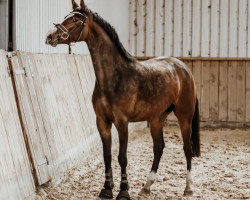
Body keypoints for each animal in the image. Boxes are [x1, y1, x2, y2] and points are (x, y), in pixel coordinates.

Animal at [46, 0, 200, 199]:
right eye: (67, 16)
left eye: (75, 19)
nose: (50, 37)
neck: (115, 76)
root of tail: (183, 68)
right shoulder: (102, 121)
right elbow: (107, 155)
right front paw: (106, 188)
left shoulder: (122, 122)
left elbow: (122, 157)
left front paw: (123, 191)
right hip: (157, 118)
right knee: (159, 147)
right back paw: (147, 186)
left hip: (184, 117)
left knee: (187, 148)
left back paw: (188, 187)